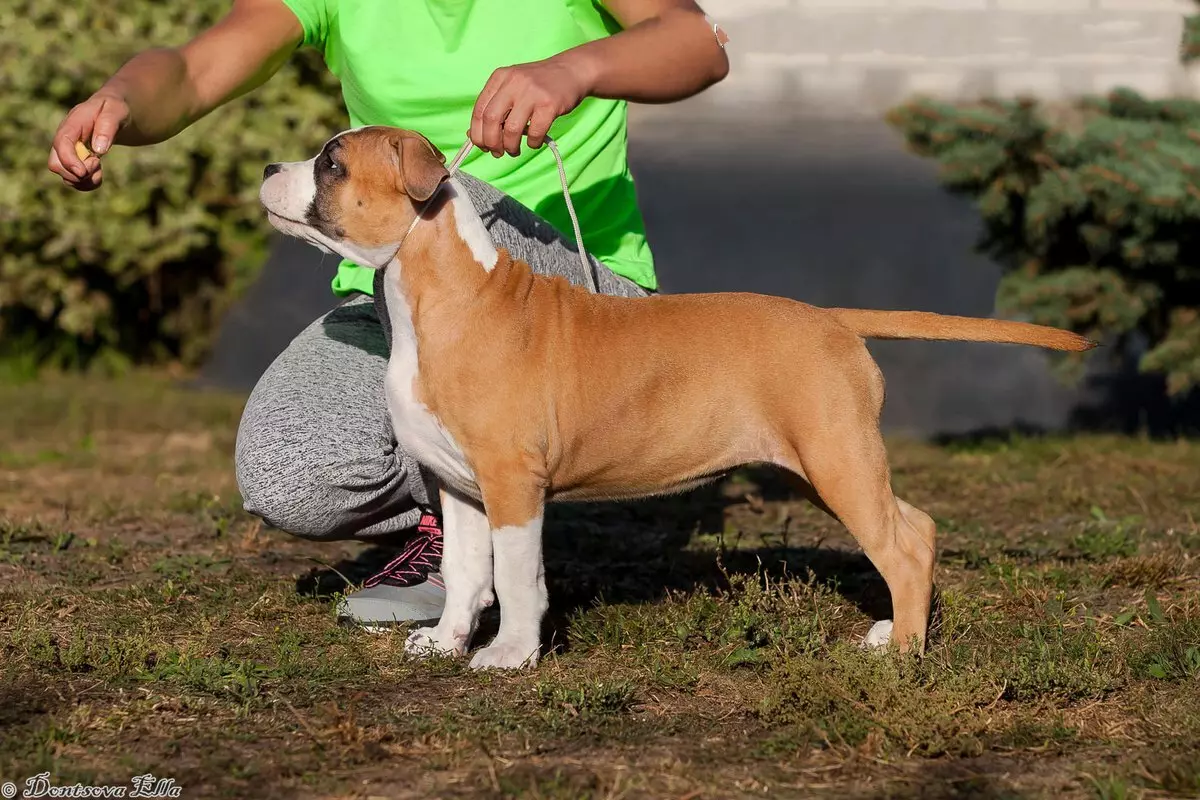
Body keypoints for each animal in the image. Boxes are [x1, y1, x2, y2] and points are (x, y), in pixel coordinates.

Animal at [262, 128, 1099, 671]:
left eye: (332, 163)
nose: (270, 163)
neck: (444, 296)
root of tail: (831, 317)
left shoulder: (513, 485)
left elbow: (517, 579)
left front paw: (509, 656)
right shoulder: (460, 485)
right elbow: (470, 574)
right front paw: (445, 642)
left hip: (837, 458)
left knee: (902, 544)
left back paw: (903, 651)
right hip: (825, 462)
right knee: (914, 528)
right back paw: (894, 631)